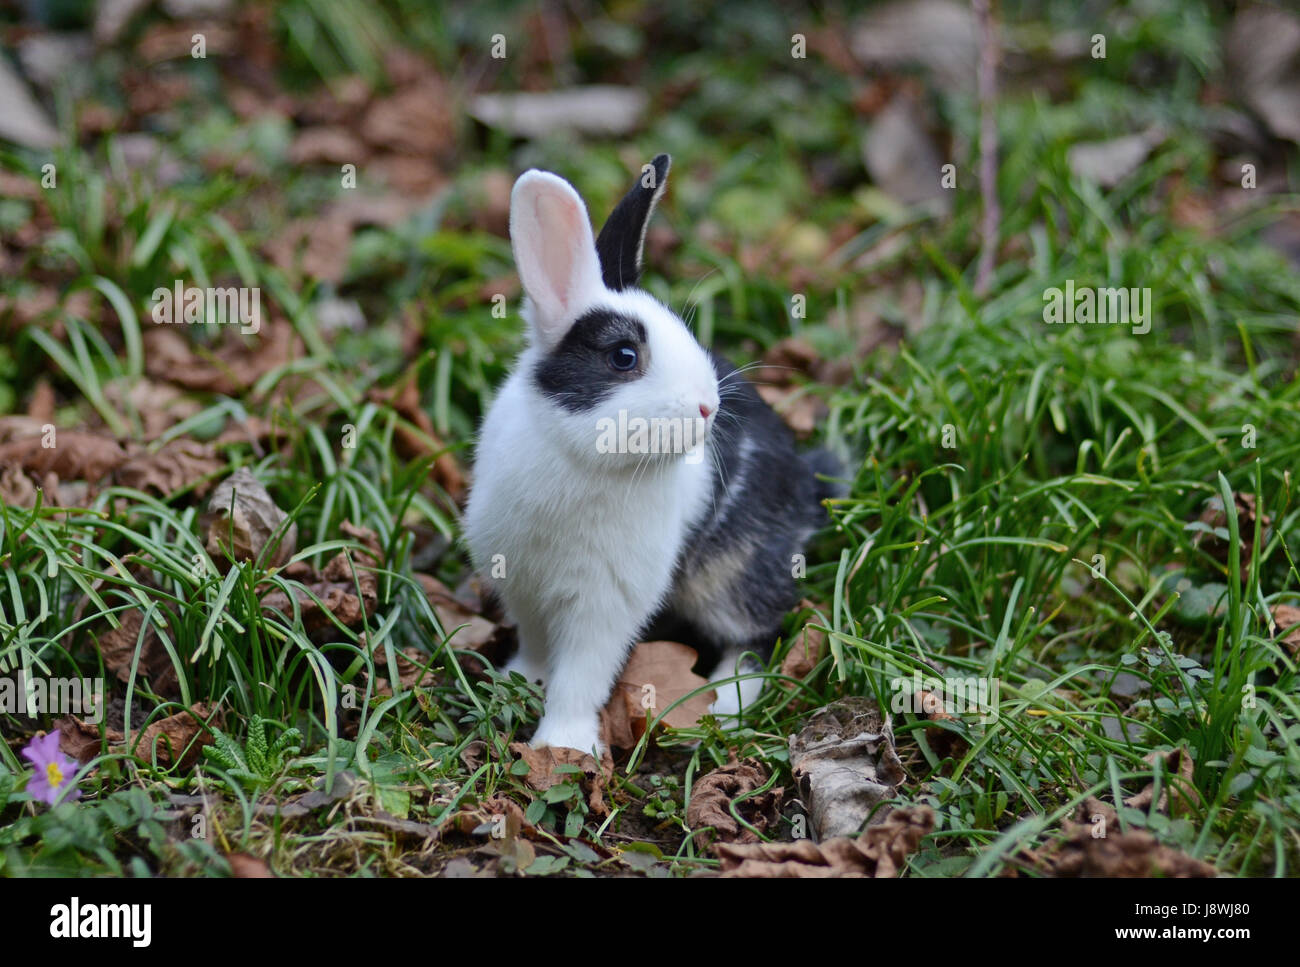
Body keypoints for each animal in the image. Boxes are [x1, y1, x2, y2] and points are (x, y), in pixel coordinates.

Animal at [462, 152, 837, 753]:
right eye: (623, 355)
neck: (582, 457)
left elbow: (581, 676)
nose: (709, 407)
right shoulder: (524, 587)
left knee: (758, 637)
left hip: (731, 575)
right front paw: (516, 682)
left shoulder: (605, 605)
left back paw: (723, 706)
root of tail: (807, 487)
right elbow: (538, 648)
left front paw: (562, 746)